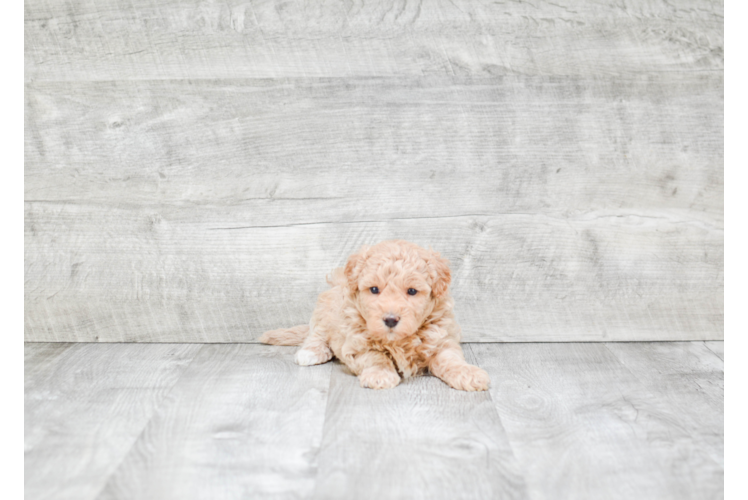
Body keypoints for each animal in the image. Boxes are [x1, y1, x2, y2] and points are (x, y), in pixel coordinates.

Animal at [258, 239, 490, 390]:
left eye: (412, 291)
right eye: (374, 289)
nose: (390, 319)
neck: (399, 341)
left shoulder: (442, 339)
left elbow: (451, 360)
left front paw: (469, 374)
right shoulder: (356, 343)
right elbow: (375, 356)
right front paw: (380, 375)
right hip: (325, 311)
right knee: (316, 334)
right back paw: (311, 352)